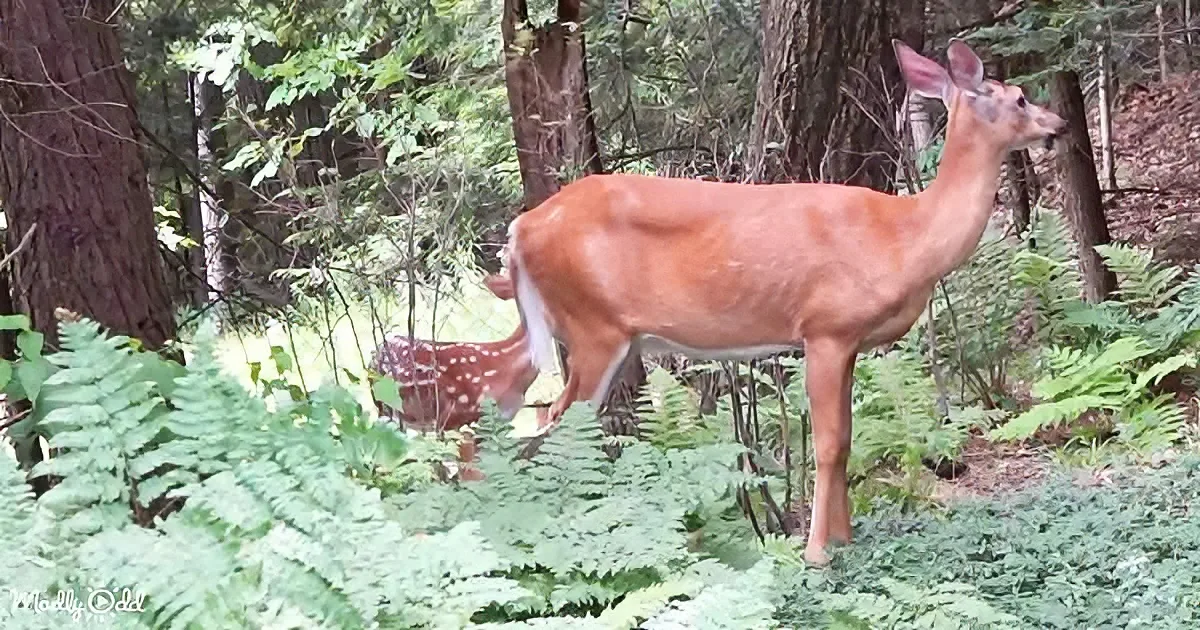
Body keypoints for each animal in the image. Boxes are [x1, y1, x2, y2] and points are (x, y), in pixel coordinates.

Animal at [491, 39, 1066, 564]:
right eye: (1018, 97)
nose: (1058, 125)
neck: (903, 238)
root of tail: (520, 231)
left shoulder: (849, 340)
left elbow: (846, 438)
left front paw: (844, 538)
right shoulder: (826, 327)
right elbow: (829, 444)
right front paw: (816, 552)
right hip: (592, 326)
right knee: (549, 424)